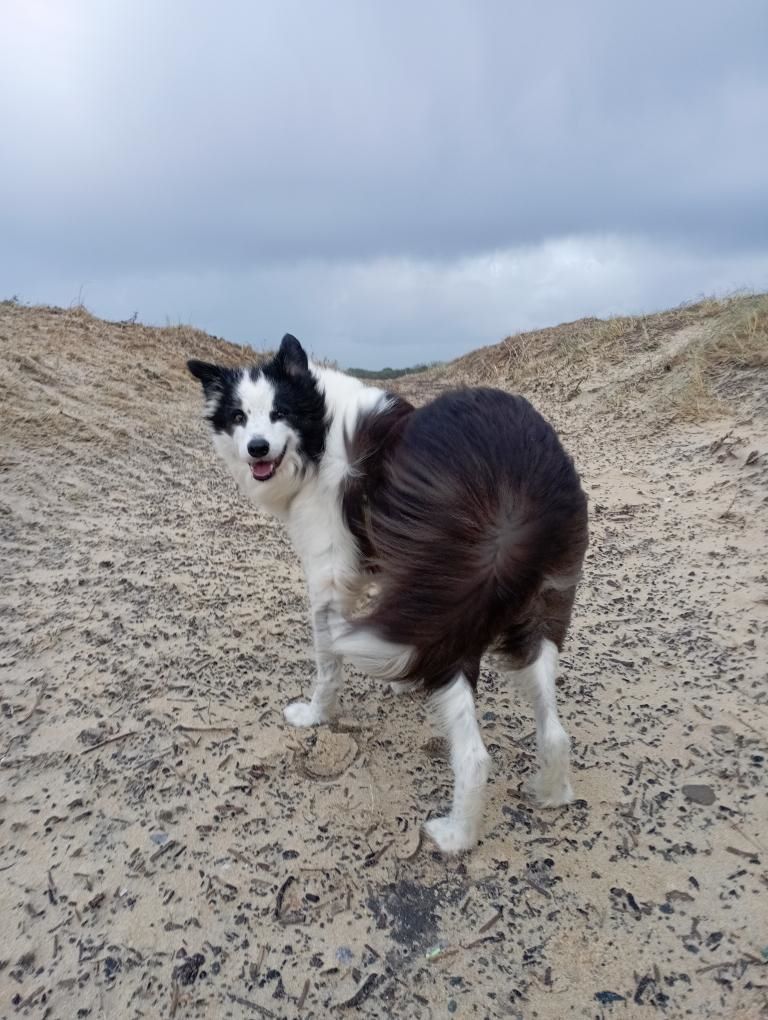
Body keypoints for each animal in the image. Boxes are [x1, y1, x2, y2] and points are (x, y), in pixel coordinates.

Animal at [187, 334, 587, 852]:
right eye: (238, 416)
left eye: (279, 413)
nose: (257, 449)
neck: (319, 433)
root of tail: (516, 481)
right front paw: (401, 682)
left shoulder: (328, 581)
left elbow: (328, 667)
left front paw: (315, 716)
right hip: (533, 610)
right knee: (555, 729)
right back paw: (552, 793)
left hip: (456, 614)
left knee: (474, 756)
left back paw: (455, 836)